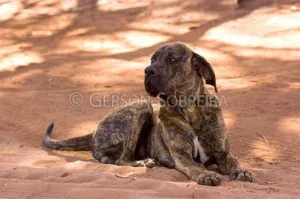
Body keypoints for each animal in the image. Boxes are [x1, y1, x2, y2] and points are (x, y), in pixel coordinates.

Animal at [43, 41, 252, 186]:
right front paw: (206, 174)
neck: (190, 110)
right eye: (152, 60)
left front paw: (241, 171)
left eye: (172, 59)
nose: (147, 70)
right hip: (142, 107)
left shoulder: (222, 152)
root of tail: (94, 130)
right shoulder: (182, 156)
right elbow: (195, 165)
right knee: (119, 160)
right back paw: (143, 162)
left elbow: (233, 161)